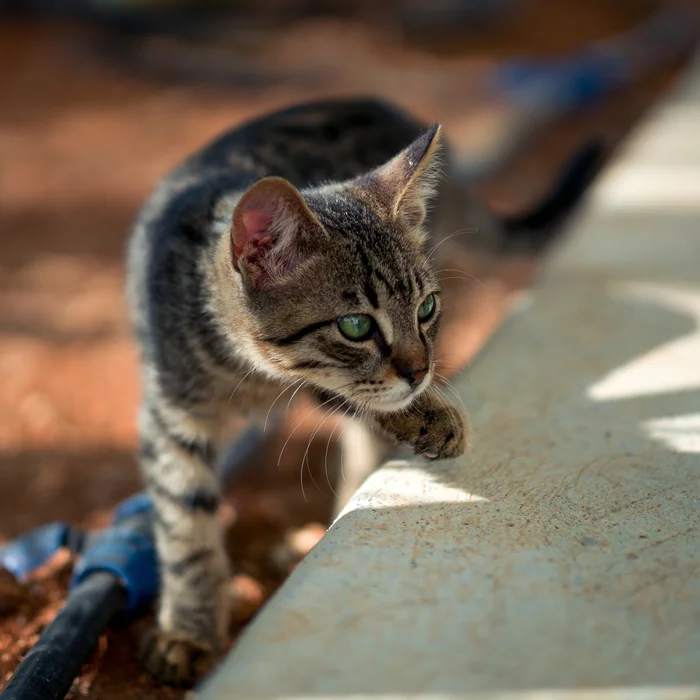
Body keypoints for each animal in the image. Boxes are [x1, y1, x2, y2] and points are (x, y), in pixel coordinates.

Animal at [127, 95, 600, 688]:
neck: (250, 375)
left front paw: (431, 416)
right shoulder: (171, 418)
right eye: (355, 326)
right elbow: (184, 525)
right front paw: (189, 631)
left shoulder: (314, 384)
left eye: (426, 309)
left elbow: (354, 396)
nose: (421, 371)